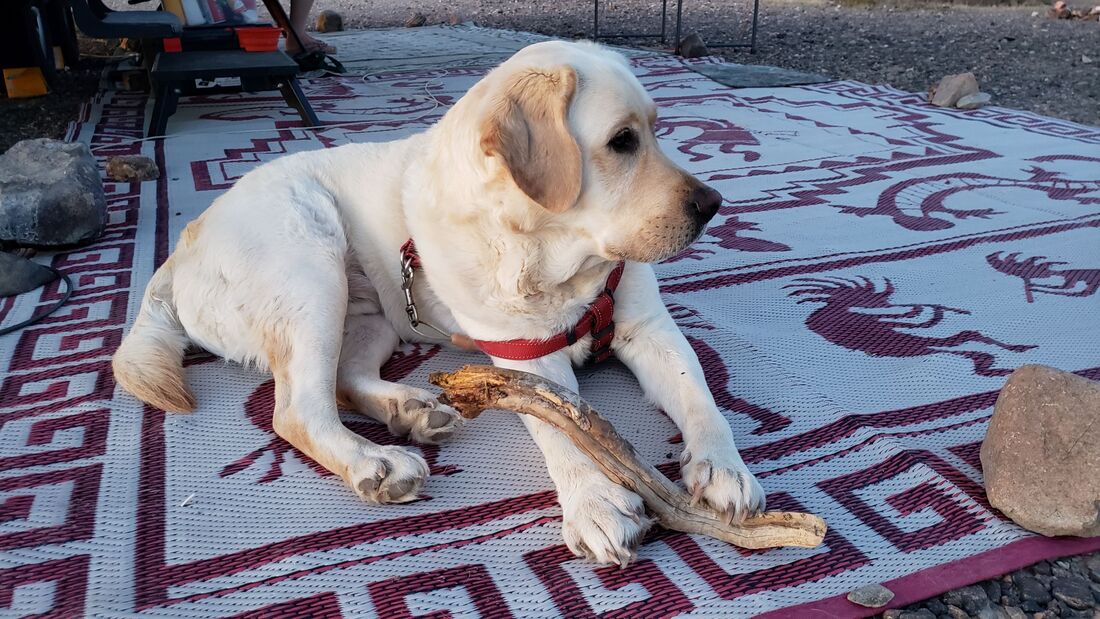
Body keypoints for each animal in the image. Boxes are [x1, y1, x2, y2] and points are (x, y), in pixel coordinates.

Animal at [113, 39, 765, 567]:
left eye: (656, 129)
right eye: (622, 142)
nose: (712, 206)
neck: (552, 257)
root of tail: (180, 250)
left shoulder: (650, 328)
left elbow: (700, 397)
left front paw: (724, 468)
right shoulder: (525, 357)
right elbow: (561, 428)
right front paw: (596, 500)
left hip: (368, 313)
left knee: (343, 377)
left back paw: (409, 409)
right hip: (309, 269)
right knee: (298, 409)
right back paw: (376, 462)